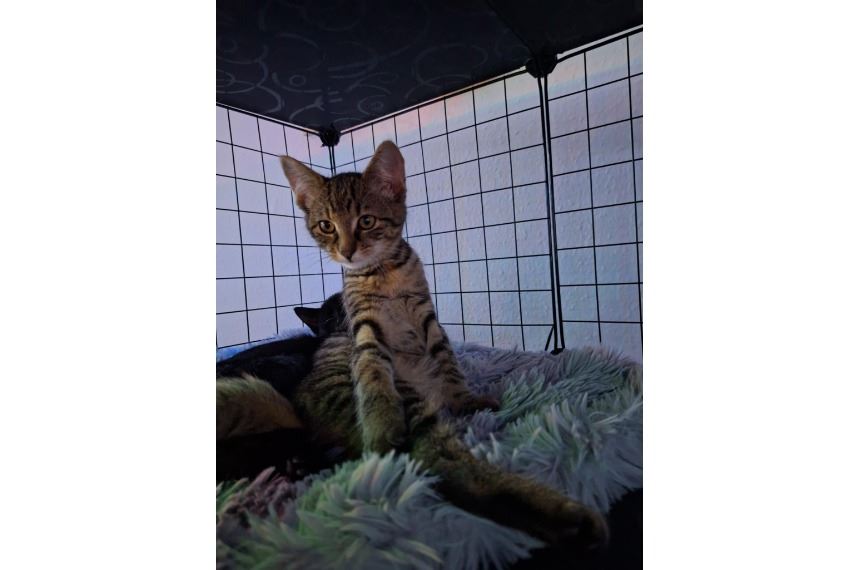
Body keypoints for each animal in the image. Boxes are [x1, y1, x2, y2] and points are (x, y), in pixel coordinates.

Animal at [274, 141, 608, 550]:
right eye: (326, 226)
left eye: (366, 221)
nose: (347, 252)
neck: (383, 274)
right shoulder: (365, 328)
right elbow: (371, 373)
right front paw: (381, 425)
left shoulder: (427, 318)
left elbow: (447, 360)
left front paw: (464, 398)